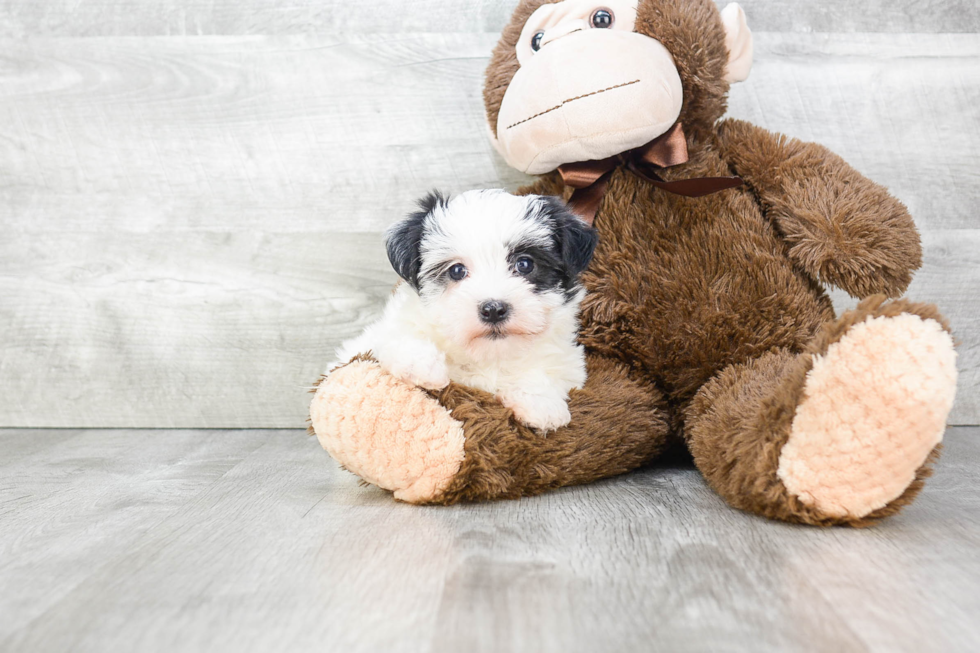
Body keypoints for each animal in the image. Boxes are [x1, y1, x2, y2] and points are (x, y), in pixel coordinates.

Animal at [334, 188, 596, 432]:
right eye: (457, 270)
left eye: (525, 264)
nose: (493, 309)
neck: (489, 356)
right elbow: (395, 337)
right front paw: (422, 365)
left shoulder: (568, 366)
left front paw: (541, 404)